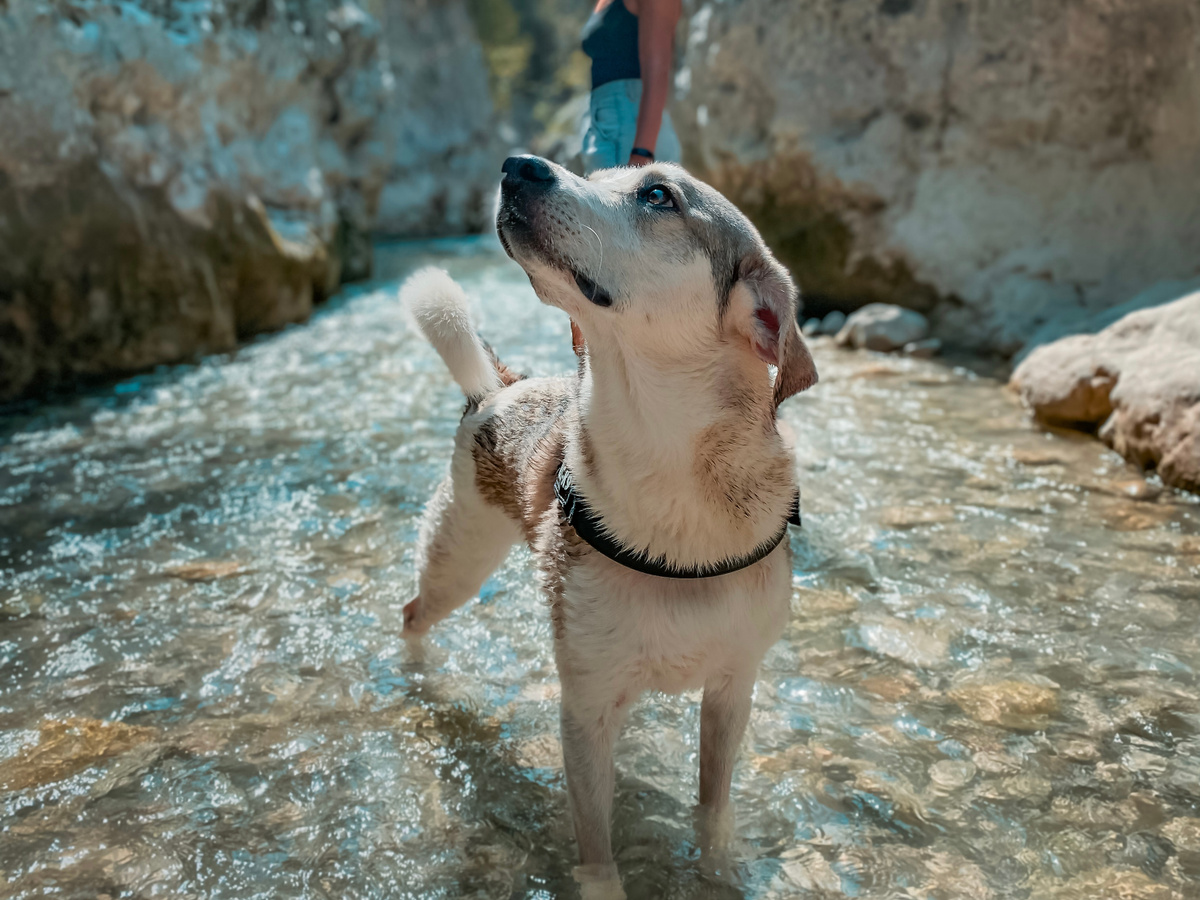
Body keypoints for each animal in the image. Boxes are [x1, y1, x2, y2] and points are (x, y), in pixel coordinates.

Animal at [398, 158, 820, 897]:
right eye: (595, 173)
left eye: (657, 195)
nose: (517, 165)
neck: (669, 474)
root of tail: (500, 388)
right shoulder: (586, 711)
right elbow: (597, 850)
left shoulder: (733, 689)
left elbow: (712, 806)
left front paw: (715, 867)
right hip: (458, 561)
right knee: (413, 613)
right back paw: (420, 675)